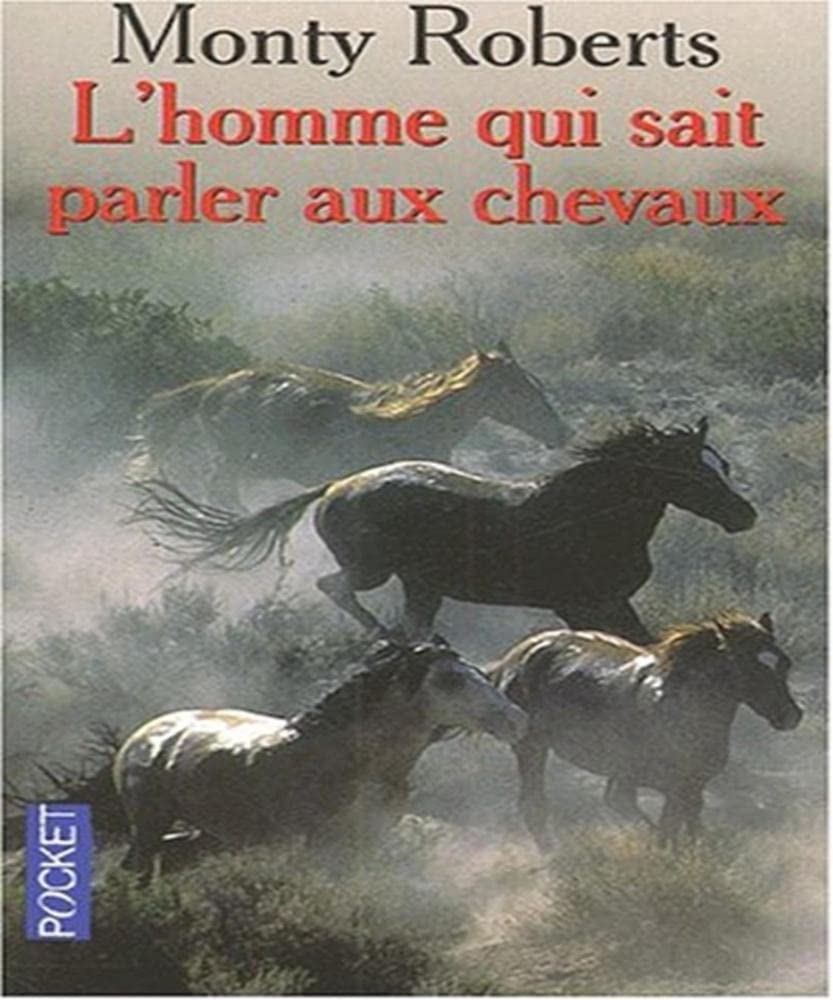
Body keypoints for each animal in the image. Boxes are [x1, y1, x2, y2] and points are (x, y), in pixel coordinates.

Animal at [112, 641, 527, 881]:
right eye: (450, 680)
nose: (516, 720)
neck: (350, 757)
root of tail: (140, 738)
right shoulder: (319, 843)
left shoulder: (367, 841)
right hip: (150, 823)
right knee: (139, 868)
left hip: (208, 834)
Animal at [127, 341, 570, 509]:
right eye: (516, 390)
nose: (561, 432)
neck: (411, 421)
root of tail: (215, 387)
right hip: (241, 460)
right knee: (219, 488)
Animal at [131, 418, 756, 645]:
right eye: (691, 471)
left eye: (721, 465)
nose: (744, 516)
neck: (589, 517)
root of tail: (335, 486)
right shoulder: (582, 605)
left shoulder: (606, 604)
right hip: (376, 570)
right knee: (336, 588)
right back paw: (389, 637)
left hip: (420, 584)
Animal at [489, 611, 802, 850]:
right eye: (747, 667)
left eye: (785, 663)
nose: (791, 716)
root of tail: (514, 657)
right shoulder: (647, 784)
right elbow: (662, 832)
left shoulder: (690, 787)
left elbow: (689, 831)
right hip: (531, 747)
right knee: (533, 806)